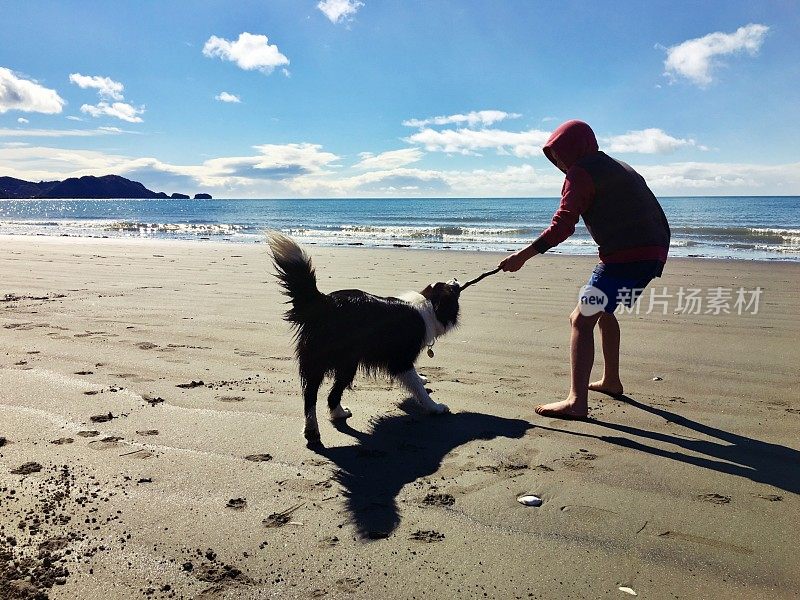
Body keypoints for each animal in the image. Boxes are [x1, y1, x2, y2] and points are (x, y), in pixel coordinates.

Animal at [268, 232, 460, 442]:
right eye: (451, 290)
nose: (456, 278)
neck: (429, 305)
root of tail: (324, 302)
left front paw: (423, 379)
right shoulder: (400, 359)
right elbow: (417, 387)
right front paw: (435, 407)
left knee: (323, 394)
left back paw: (337, 414)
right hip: (338, 359)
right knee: (314, 395)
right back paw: (314, 430)